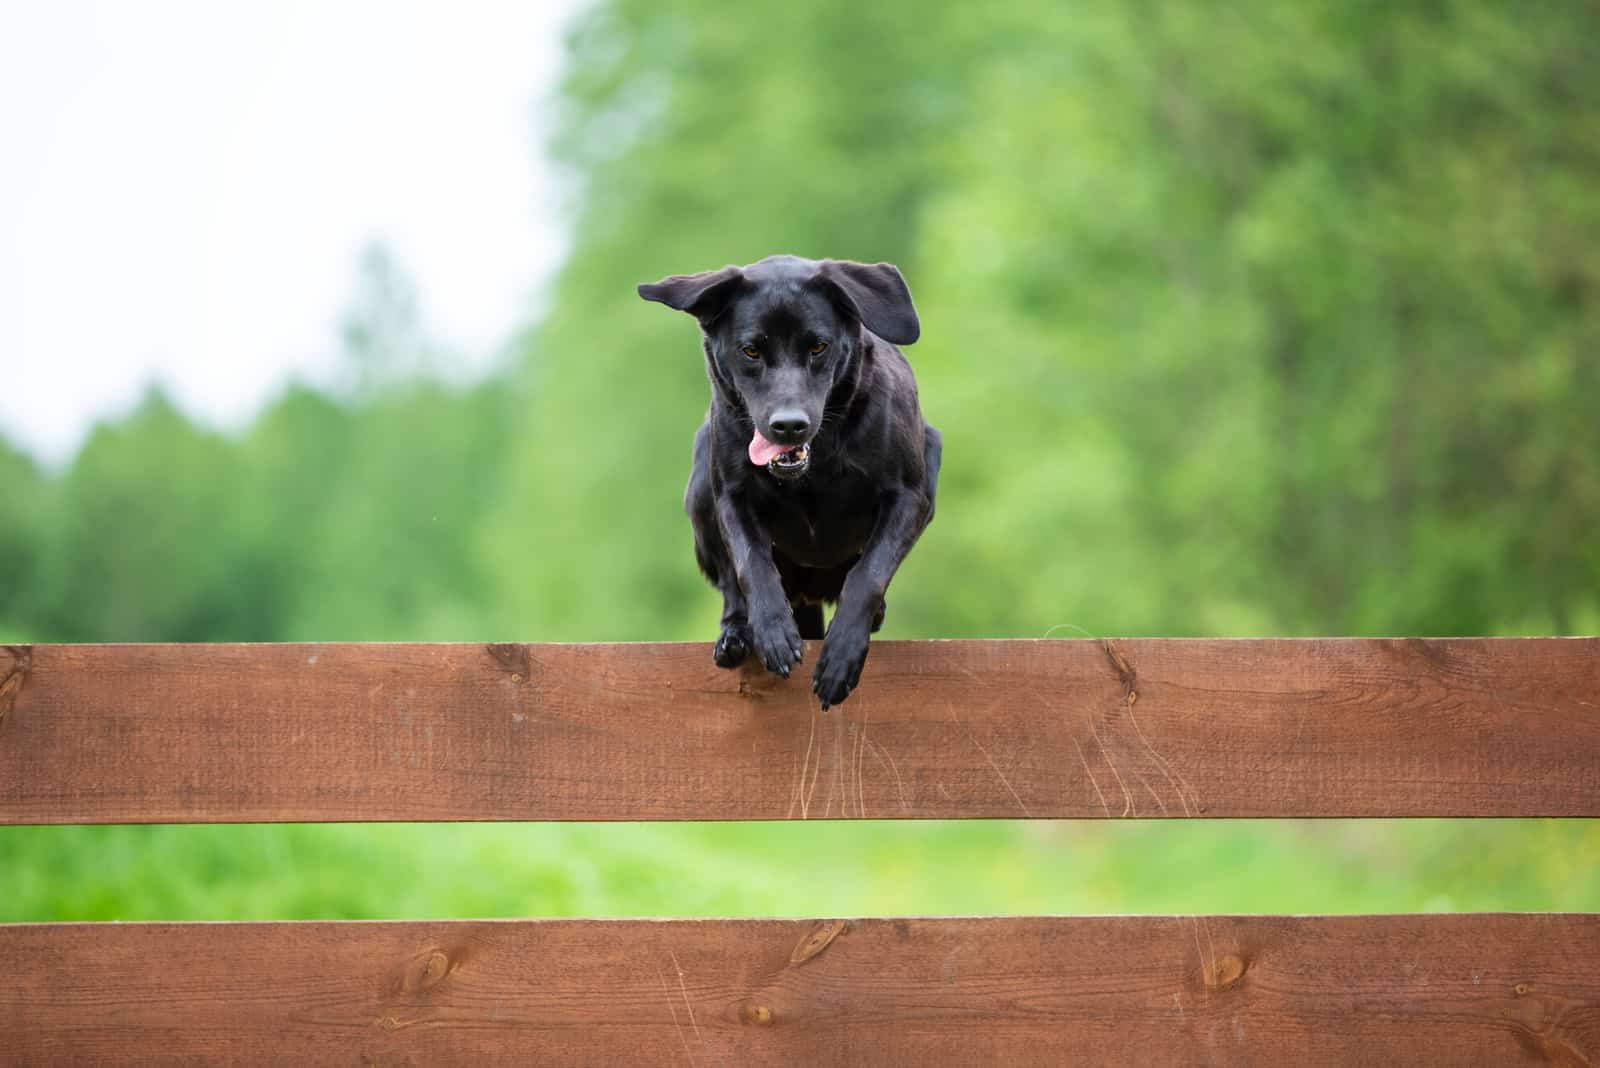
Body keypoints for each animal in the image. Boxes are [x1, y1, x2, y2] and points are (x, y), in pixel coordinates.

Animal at [636, 255, 934, 709]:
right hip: (701, 483)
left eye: (818, 347)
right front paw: (773, 632)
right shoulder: (731, 497)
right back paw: (736, 635)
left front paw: (841, 656)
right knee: (730, 586)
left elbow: (868, 573)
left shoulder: (909, 497)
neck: (816, 464)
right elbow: (750, 564)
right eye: (751, 350)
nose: (789, 425)